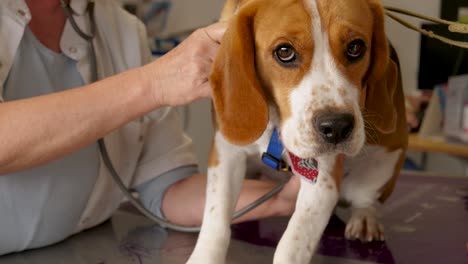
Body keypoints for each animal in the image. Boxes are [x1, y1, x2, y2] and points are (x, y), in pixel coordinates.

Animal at [188, 0, 408, 262]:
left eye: (356, 47)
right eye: (284, 52)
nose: (337, 127)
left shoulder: (323, 181)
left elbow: (292, 244)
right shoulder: (226, 152)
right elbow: (216, 220)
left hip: (387, 158)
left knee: (365, 198)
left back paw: (365, 218)